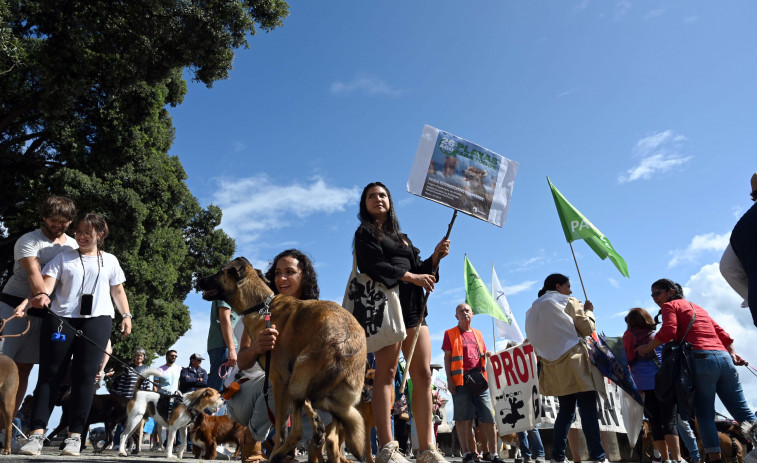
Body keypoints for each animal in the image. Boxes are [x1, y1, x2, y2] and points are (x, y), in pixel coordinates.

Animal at [199, 258, 368, 463]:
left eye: (218, 272)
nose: (198, 280)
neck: (260, 305)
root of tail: (346, 344)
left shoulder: (280, 380)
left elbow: (281, 430)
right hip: (324, 392)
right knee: (333, 432)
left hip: (296, 382)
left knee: (298, 431)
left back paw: (277, 455)